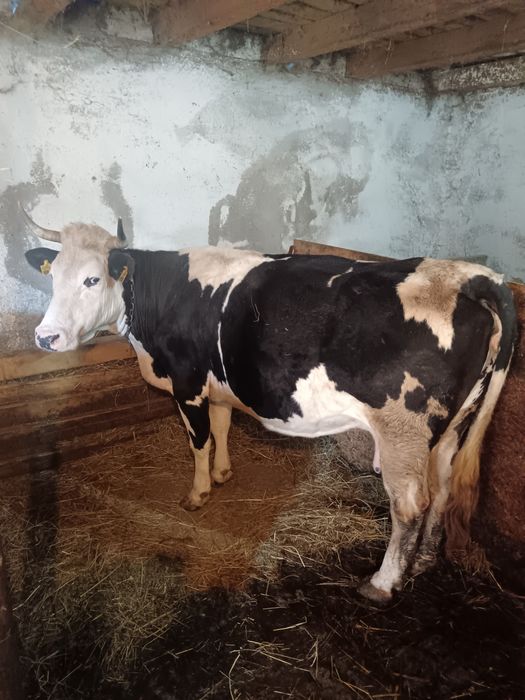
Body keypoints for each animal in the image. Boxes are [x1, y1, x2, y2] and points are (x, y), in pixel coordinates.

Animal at [22, 210, 517, 603]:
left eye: (92, 279)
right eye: (52, 276)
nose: (46, 338)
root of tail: (467, 276)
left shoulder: (187, 384)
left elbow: (198, 441)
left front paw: (198, 493)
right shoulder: (218, 384)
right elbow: (222, 427)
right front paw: (223, 474)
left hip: (404, 429)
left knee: (411, 503)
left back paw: (381, 584)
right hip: (451, 427)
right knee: (444, 487)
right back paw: (426, 559)